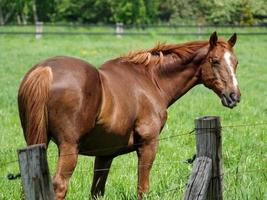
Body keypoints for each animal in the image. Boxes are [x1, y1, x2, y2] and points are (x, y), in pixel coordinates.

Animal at [18, 32, 241, 199]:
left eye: (235, 62)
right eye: (214, 61)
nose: (234, 95)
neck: (151, 80)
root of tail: (45, 70)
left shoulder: (104, 155)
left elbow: (97, 191)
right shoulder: (148, 145)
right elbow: (142, 188)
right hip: (68, 149)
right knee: (60, 185)